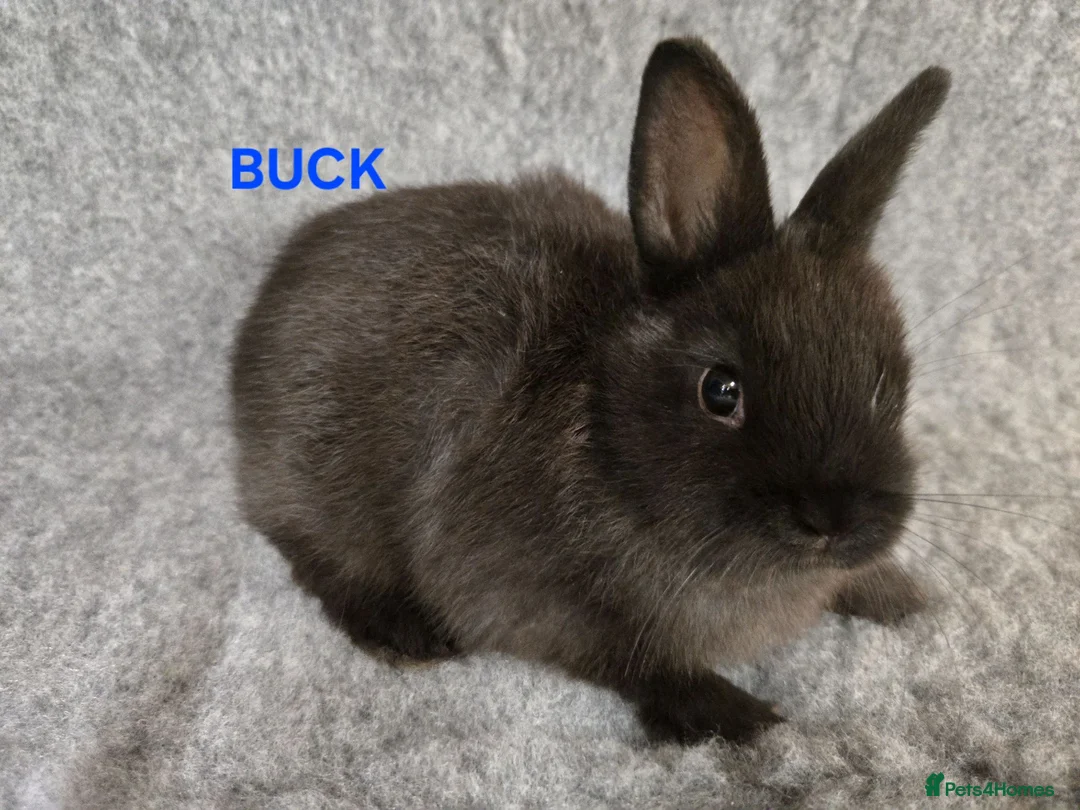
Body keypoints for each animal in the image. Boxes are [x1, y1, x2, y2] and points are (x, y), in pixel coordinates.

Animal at [230, 37, 950, 744]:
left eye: (883, 386)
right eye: (720, 391)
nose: (834, 522)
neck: (606, 436)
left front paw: (905, 597)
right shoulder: (516, 591)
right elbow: (633, 658)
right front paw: (735, 715)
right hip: (314, 481)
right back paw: (404, 633)